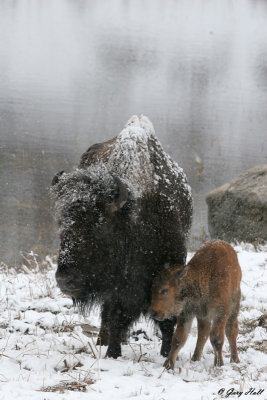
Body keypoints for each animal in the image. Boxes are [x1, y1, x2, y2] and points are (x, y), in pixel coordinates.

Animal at [52, 114, 194, 358]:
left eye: (100, 228)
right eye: (62, 225)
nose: (65, 280)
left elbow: (167, 322)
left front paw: (166, 353)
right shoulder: (116, 291)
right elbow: (115, 317)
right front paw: (113, 353)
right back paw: (102, 341)